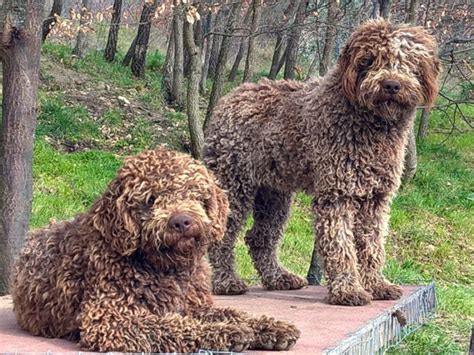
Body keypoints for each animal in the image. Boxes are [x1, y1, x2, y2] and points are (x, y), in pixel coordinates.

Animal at [12, 147, 300, 354]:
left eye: (194, 194)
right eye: (151, 199)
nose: (182, 221)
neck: (168, 269)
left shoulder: (195, 306)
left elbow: (235, 313)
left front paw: (268, 326)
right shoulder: (111, 321)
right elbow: (172, 326)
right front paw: (227, 333)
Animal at [204, 18, 440, 306]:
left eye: (407, 61)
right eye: (371, 59)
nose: (392, 85)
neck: (369, 123)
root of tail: (229, 98)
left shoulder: (375, 199)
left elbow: (373, 246)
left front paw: (377, 284)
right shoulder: (337, 195)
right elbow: (341, 246)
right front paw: (348, 289)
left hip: (274, 195)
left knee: (260, 238)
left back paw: (278, 278)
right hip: (234, 184)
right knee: (224, 235)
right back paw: (226, 281)